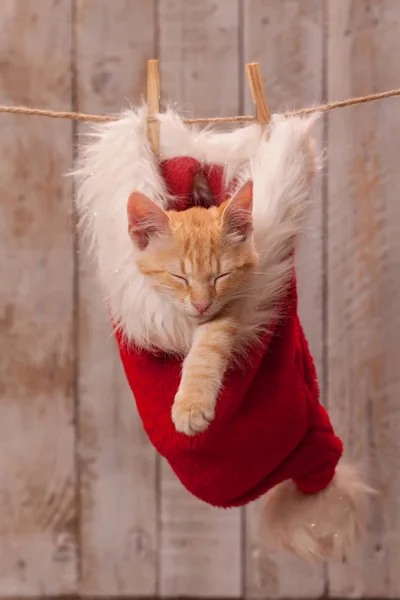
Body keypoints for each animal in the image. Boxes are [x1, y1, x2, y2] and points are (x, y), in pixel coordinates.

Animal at [128, 176, 260, 434]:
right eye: (180, 277)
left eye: (221, 276)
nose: (202, 305)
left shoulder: (233, 299)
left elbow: (210, 346)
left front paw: (192, 404)